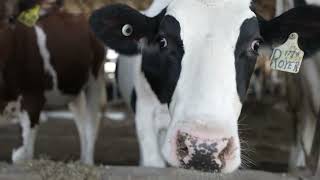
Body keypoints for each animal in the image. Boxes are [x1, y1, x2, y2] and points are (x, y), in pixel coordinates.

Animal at [0, 0, 106, 164]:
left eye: (11, 19)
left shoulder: (33, 98)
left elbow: (21, 156)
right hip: (72, 88)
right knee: (81, 121)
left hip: (95, 78)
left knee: (91, 123)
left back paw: (88, 163)